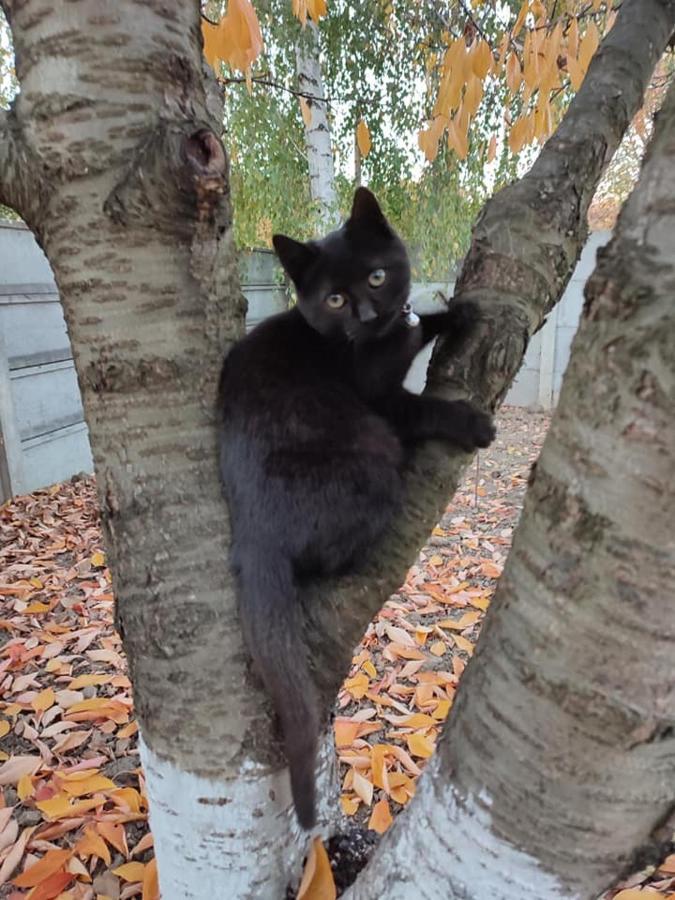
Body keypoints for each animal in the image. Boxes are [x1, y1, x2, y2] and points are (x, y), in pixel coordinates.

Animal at [219, 190, 494, 828]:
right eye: (335, 299)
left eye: (376, 276)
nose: (369, 315)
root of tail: (251, 531)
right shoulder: (377, 396)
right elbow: (418, 405)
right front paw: (471, 422)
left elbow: (419, 323)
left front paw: (454, 313)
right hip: (371, 447)